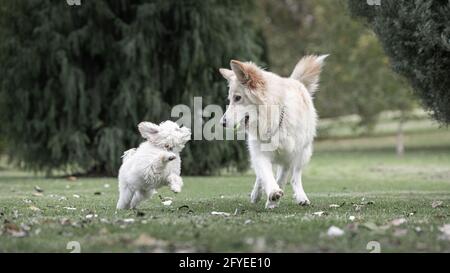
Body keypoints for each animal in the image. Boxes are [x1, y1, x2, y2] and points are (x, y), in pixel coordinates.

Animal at [220, 55, 328, 208]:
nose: (222, 123)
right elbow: (266, 174)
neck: (273, 120)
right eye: (230, 99)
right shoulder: (260, 153)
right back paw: (256, 194)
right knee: (260, 175)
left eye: (238, 98)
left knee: (295, 177)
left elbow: (282, 178)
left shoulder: (289, 155)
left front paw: (273, 201)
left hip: (303, 154)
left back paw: (301, 197)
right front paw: (272, 193)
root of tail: (296, 81)